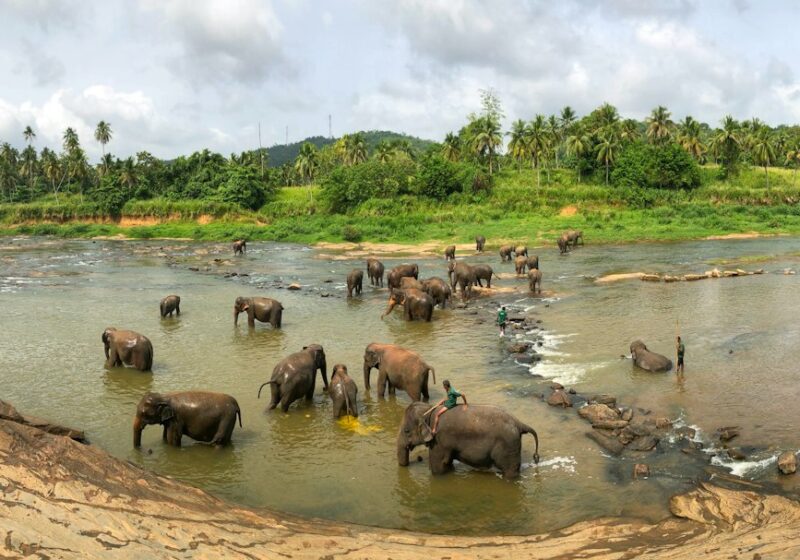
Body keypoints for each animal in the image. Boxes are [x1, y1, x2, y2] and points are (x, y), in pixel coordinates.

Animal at [397, 402, 540, 479]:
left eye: (406, 431)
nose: (418, 459)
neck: (430, 409)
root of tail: (519, 423)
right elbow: (447, 464)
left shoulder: (439, 440)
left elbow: (438, 467)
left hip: (508, 446)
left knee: (510, 471)